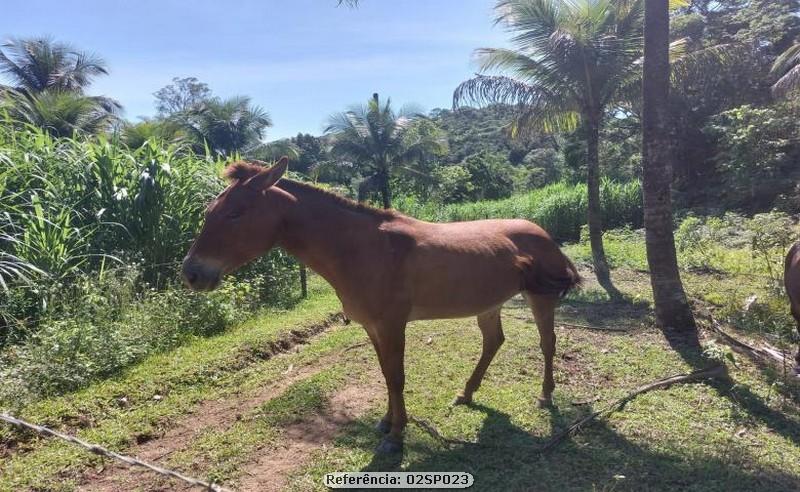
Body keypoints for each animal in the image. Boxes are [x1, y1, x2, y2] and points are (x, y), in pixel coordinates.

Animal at [181, 159, 580, 454]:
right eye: (210, 210)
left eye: (236, 213)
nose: (192, 274)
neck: (364, 248)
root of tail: (543, 233)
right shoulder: (373, 328)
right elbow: (387, 376)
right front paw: (387, 423)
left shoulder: (391, 326)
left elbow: (397, 377)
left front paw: (396, 436)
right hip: (489, 304)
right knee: (493, 342)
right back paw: (466, 393)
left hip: (540, 299)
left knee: (547, 344)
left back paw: (545, 395)